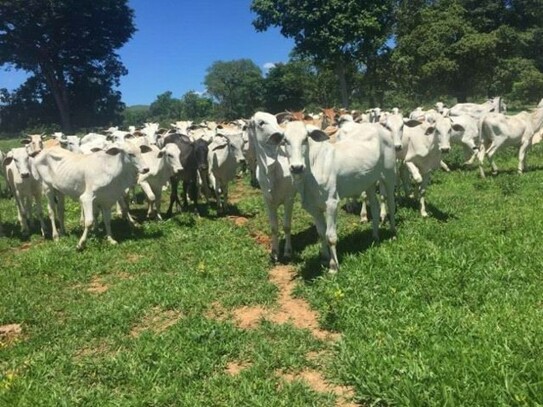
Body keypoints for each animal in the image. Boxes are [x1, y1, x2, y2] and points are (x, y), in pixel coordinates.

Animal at [248, 113, 296, 262]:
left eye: (276, 120)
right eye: (261, 123)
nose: (280, 135)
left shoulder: (289, 198)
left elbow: (286, 226)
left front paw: (287, 252)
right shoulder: (267, 200)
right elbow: (274, 227)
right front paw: (275, 252)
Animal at [278, 120, 398, 274]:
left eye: (305, 139)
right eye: (285, 140)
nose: (297, 167)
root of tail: (380, 128)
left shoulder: (331, 204)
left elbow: (330, 236)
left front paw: (334, 266)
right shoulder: (312, 207)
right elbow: (321, 233)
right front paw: (324, 257)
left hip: (389, 175)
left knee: (391, 204)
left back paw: (393, 233)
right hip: (369, 182)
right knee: (375, 208)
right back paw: (375, 237)